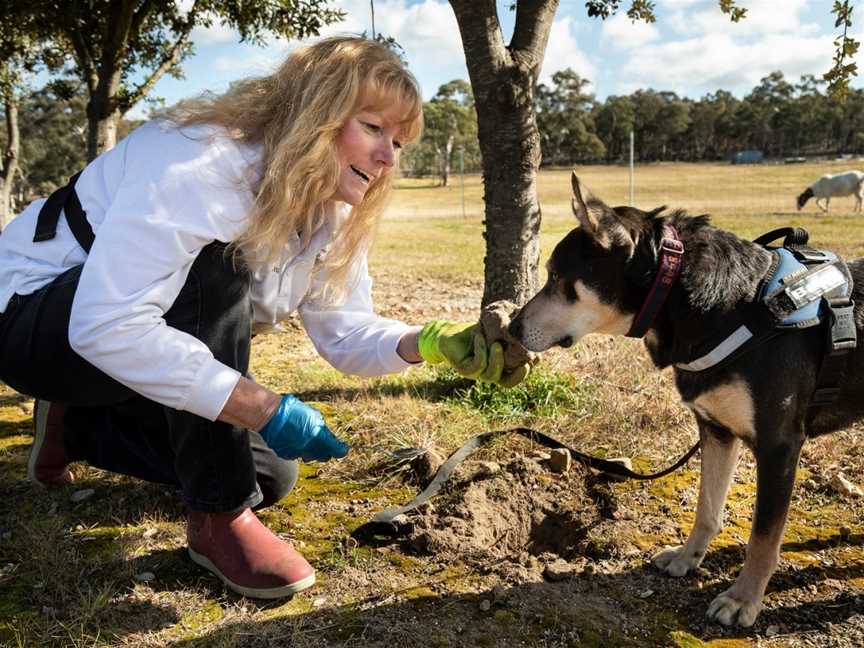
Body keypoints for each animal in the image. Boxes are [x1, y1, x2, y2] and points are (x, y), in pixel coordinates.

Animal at [506, 172, 864, 628]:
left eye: (555, 278)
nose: (512, 328)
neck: (726, 307)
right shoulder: (715, 430)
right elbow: (707, 508)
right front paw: (688, 557)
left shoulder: (779, 445)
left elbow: (763, 536)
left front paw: (743, 599)